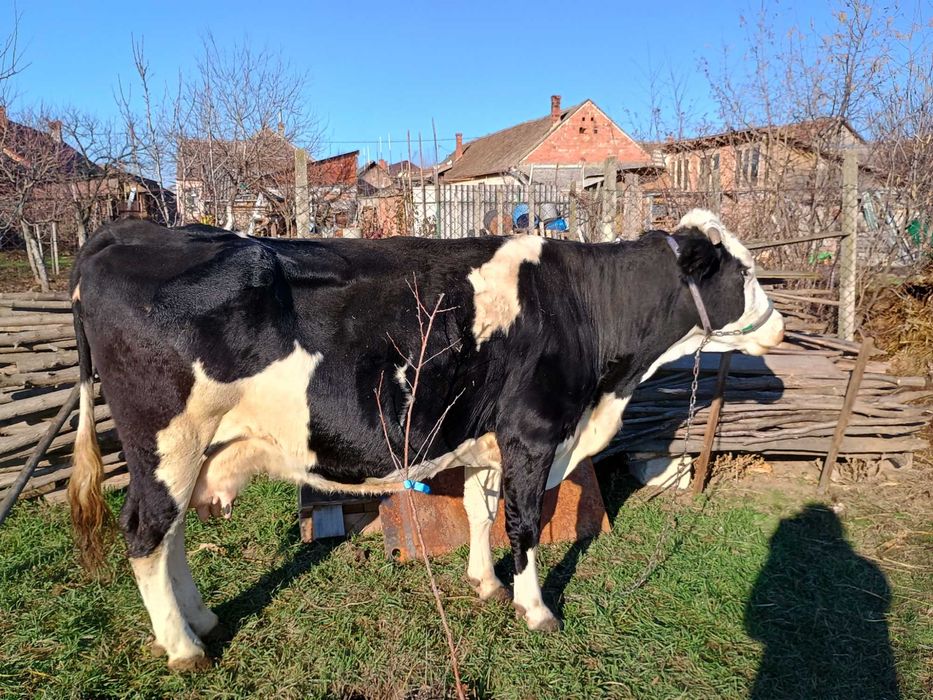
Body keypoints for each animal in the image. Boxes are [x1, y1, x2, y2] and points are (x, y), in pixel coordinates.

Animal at [67, 209, 784, 670]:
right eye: (745, 273)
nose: (778, 327)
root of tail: (122, 232)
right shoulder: (533, 433)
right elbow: (524, 524)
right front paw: (534, 608)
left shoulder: (490, 439)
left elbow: (480, 511)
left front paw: (484, 583)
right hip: (168, 441)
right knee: (145, 533)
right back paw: (184, 648)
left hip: (191, 451)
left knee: (172, 533)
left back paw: (201, 620)